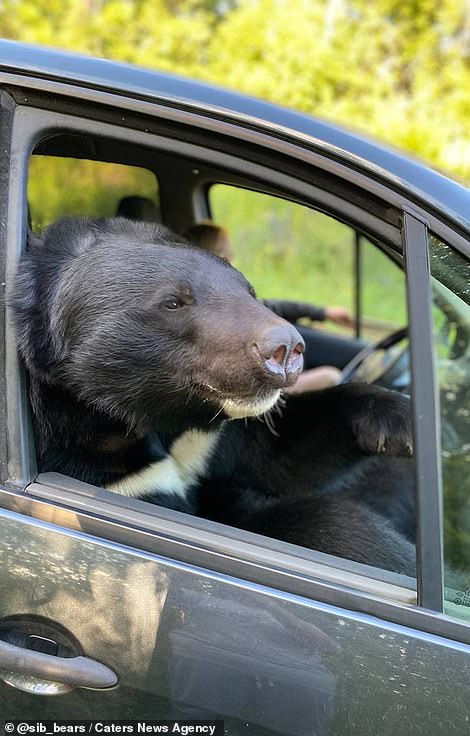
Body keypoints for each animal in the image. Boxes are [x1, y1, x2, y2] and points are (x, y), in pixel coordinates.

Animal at [11, 217, 414, 576]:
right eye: (174, 302)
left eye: (250, 291)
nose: (286, 348)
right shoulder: (105, 474)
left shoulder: (209, 439)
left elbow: (278, 454)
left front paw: (400, 421)